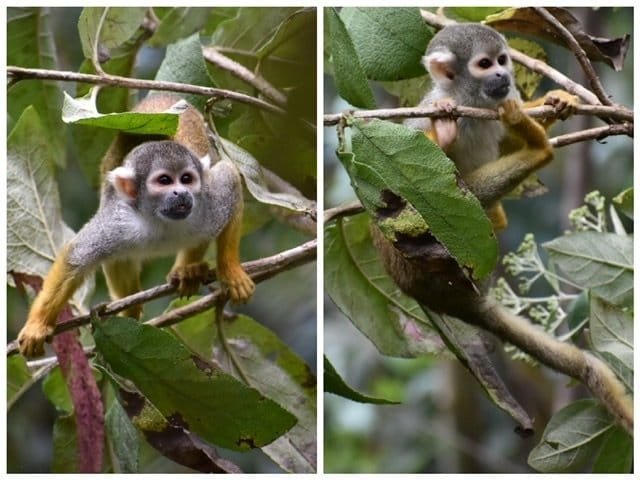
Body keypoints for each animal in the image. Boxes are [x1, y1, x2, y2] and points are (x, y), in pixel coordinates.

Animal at [16, 94, 255, 358]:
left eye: (186, 179)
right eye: (164, 181)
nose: (181, 193)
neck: (162, 221)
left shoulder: (209, 203)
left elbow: (230, 178)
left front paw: (231, 272)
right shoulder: (120, 223)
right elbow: (76, 256)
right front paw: (37, 325)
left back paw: (188, 269)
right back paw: (131, 309)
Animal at [372, 24, 632, 434]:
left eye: (502, 59)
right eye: (483, 64)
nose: (502, 75)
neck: (470, 101)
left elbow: (504, 138)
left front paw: (555, 102)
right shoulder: (424, 113)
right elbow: (404, 178)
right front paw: (442, 133)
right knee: (446, 197)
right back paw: (539, 150)